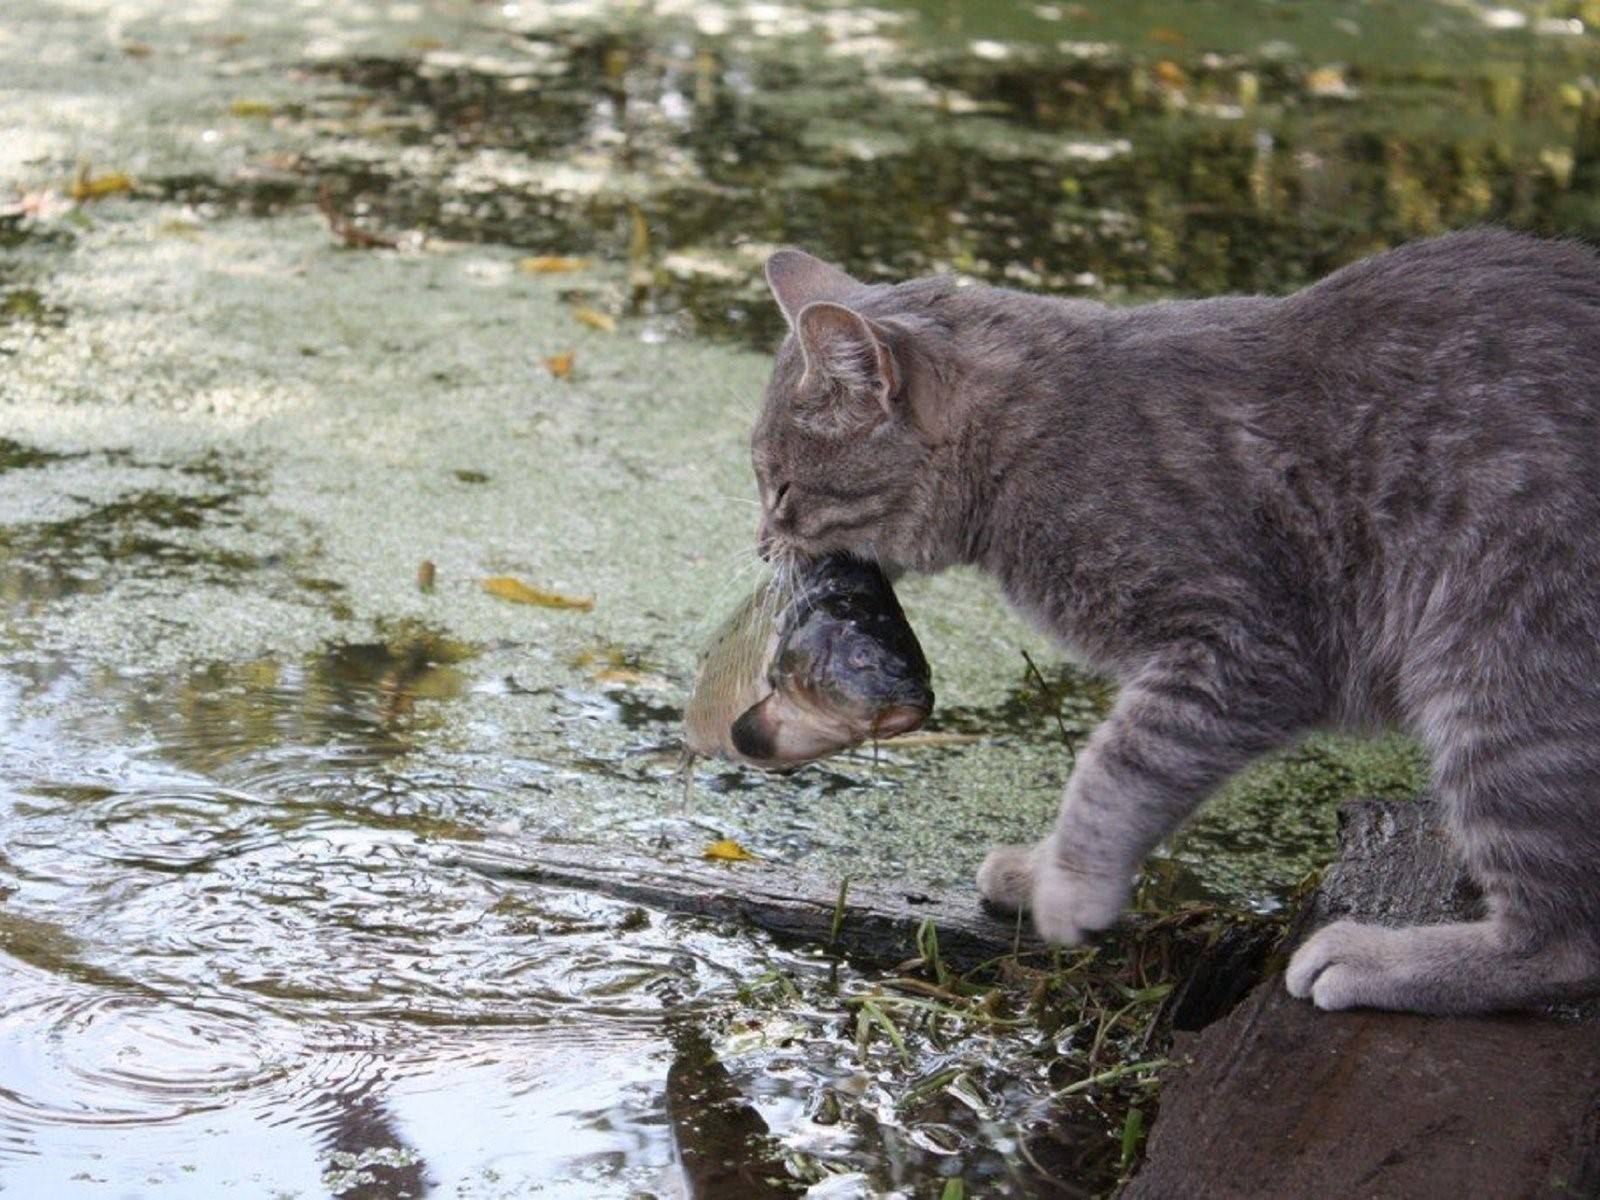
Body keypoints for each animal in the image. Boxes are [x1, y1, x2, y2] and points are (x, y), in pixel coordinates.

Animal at [745, 232, 1600, 1017]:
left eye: (781, 488)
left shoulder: (1246, 647)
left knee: (1564, 943)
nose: (760, 545)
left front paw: (1070, 885)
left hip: (1500, 673)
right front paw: (1042, 867)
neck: (1038, 436)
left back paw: (1382, 960)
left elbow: (1115, 768)